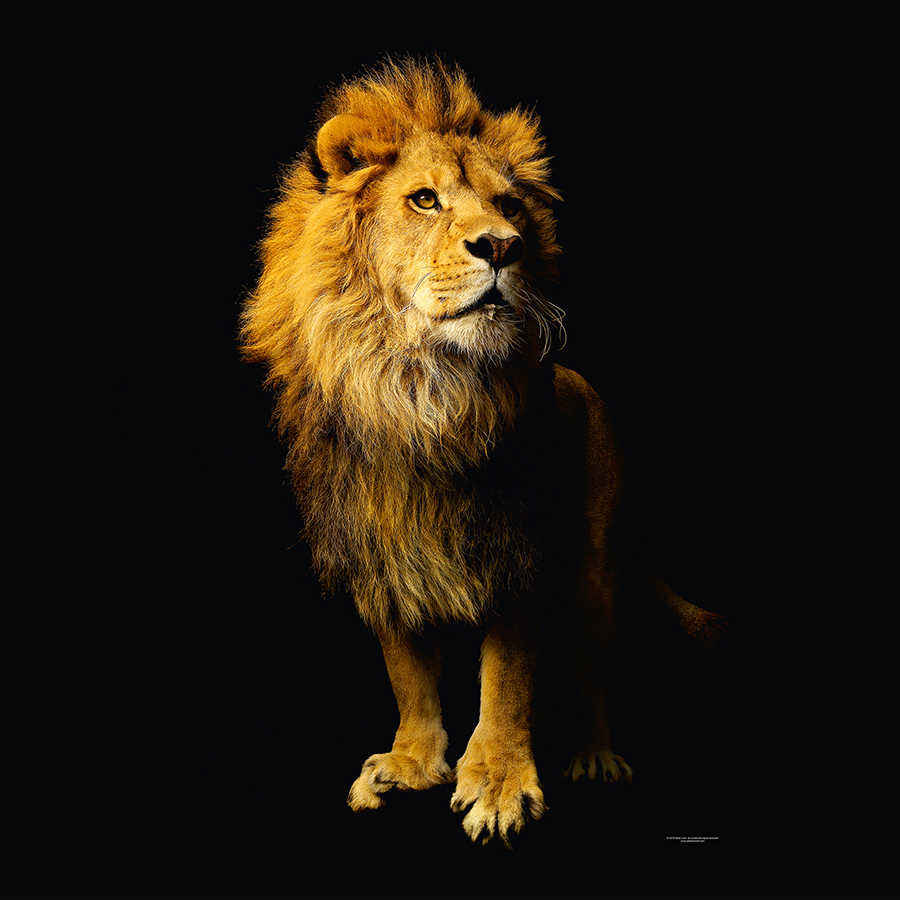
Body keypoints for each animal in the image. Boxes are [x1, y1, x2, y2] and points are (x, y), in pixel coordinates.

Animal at [241, 58, 720, 846]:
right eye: (424, 200)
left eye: (508, 205)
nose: (501, 246)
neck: (419, 392)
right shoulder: (379, 547)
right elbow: (406, 670)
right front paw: (410, 763)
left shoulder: (519, 548)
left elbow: (508, 680)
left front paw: (497, 783)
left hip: (594, 568)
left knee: (593, 667)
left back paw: (595, 756)